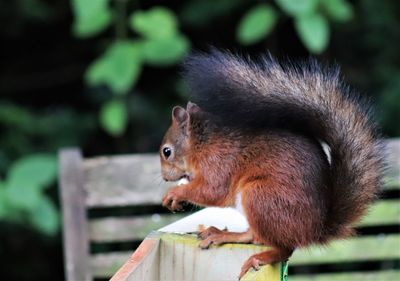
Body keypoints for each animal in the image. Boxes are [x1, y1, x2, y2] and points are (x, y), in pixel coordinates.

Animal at [159, 49, 384, 278]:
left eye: (167, 152)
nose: (165, 177)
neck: (204, 143)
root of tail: (314, 231)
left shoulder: (218, 163)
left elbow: (212, 191)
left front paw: (175, 194)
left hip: (260, 196)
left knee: (280, 248)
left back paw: (250, 251)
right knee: (257, 237)